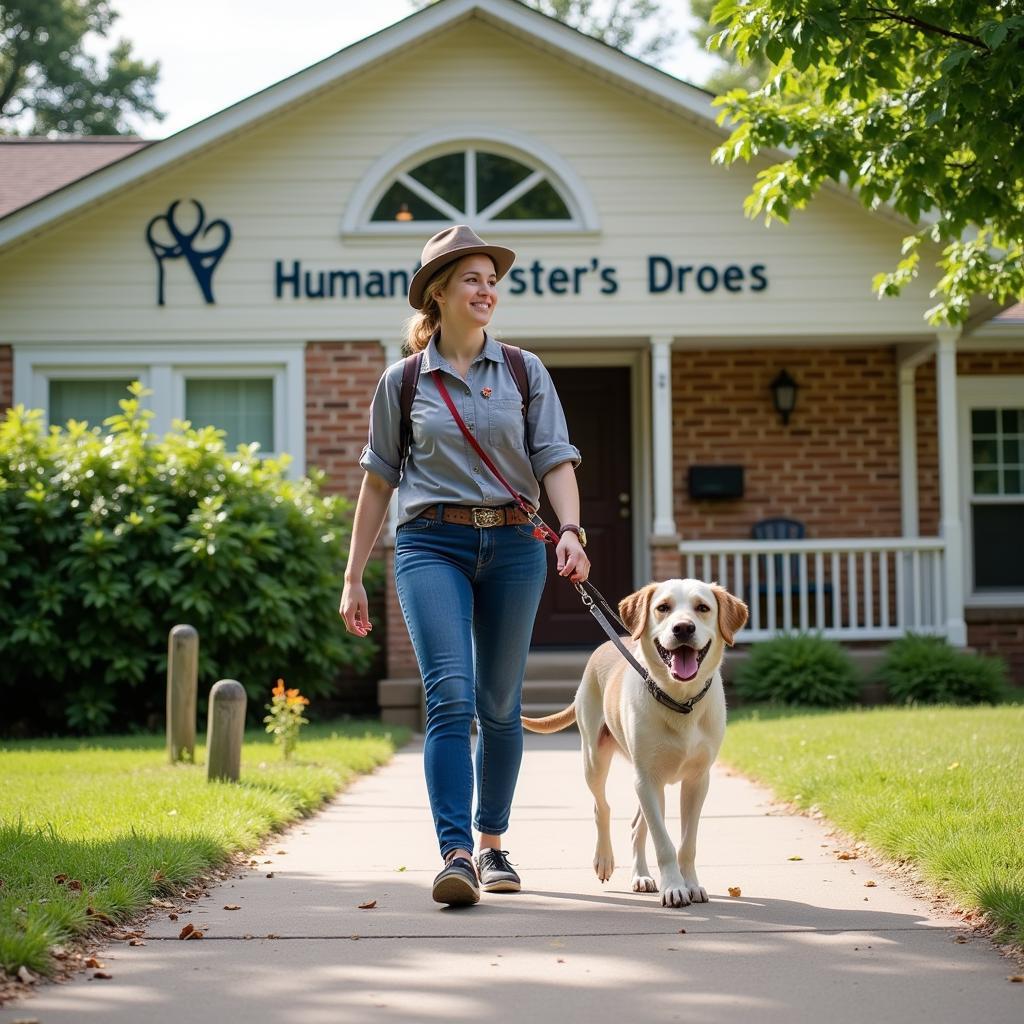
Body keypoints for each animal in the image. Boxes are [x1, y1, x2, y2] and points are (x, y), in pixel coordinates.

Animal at [524, 581, 749, 909]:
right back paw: (605, 860)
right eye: (663, 607)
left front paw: (690, 884)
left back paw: (641, 876)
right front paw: (674, 888)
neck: (678, 699)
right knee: (601, 808)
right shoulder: (647, 778)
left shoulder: (697, 781)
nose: (683, 628)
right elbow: (664, 842)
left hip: (648, 783)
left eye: (703, 608)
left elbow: (687, 843)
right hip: (597, 760)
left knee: (636, 826)